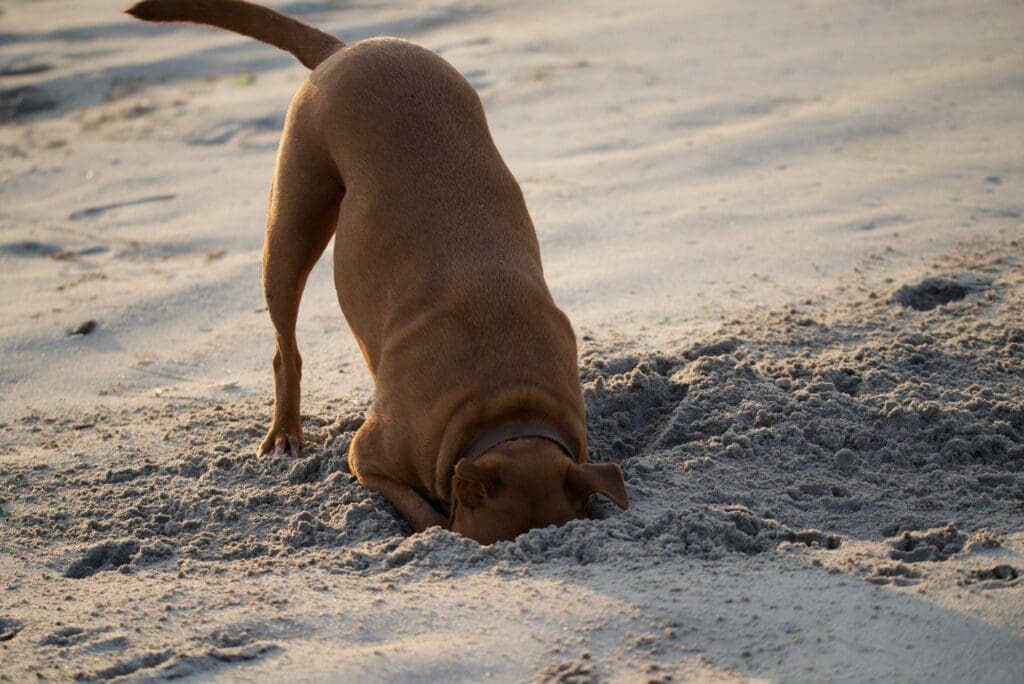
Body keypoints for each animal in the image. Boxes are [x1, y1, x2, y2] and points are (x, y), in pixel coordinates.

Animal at [123, 1, 626, 544]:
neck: (506, 409)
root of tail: (350, 48)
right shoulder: (369, 454)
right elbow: (427, 514)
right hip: (293, 222)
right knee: (285, 345)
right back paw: (285, 435)